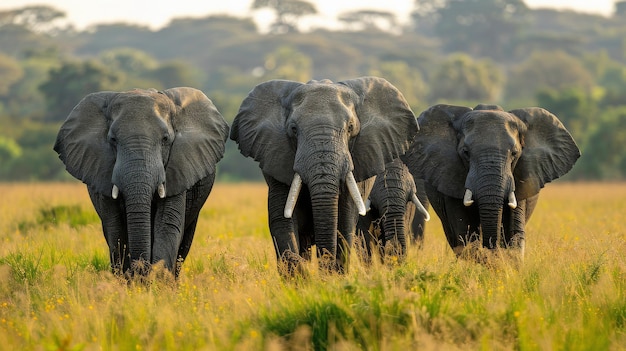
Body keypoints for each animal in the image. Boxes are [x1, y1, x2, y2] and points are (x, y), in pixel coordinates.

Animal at [53, 87, 228, 278]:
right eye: (113, 140)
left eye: (165, 139)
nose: (141, 274)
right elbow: (115, 228)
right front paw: (129, 281)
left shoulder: (178, 168)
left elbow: (166, 224)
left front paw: (157, 282)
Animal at [228, 77, 414, 276]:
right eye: (293, 129)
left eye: (350, 128)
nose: (325, 264)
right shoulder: (276, 157)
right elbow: (282, 218)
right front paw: (297, 269)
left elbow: (345, 219)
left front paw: (332, 276)